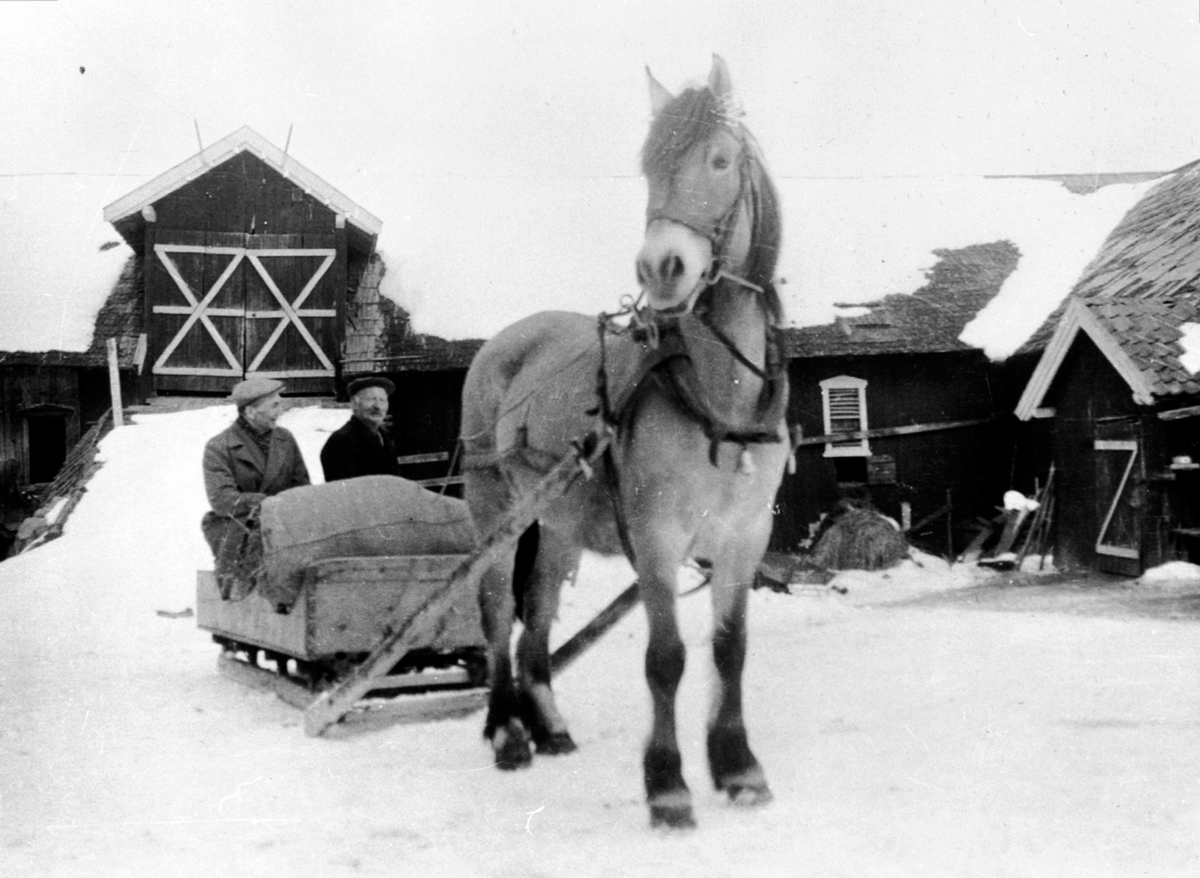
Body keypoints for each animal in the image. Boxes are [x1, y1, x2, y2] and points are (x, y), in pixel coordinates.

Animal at [458, 56, 787, 830]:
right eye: (649, 168)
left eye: (719, 160)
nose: (660, 268)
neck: (716, 397)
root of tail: (507, 340)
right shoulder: (657, 536)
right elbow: (666, 657)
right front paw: (667, 785)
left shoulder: (745, 535)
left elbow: (730, 649)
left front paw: (738, 767)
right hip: (495, 511)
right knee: (496, 612)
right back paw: (507, 731)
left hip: (558, 524)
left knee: (536, 617)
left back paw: (548, 723)